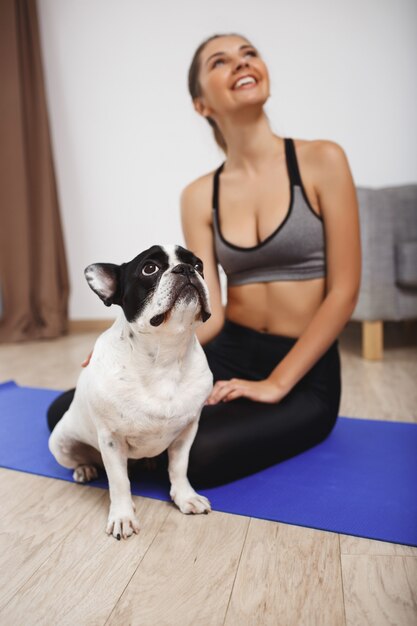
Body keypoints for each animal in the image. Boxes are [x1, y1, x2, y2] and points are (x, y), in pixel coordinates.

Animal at [47, 244, 213, 536]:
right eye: (149, 269)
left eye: (199, 265)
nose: (185, 269)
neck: (166, 355)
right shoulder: (112, 440)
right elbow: (119, 482)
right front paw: (123, 517)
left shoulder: (186, 432)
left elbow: (179, 467)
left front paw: (185, 497)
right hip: (61, 443)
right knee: (83, 461)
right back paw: (85, 469)